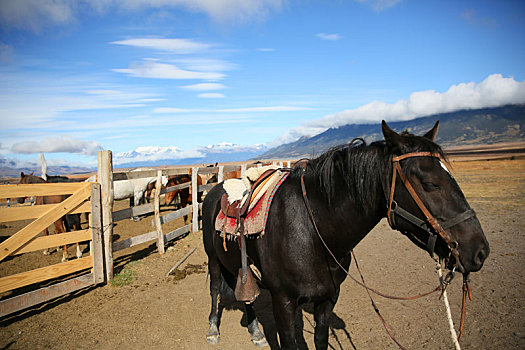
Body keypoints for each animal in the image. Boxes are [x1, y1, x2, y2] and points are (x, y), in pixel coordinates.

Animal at [201, 121, 488, 350]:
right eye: (430, 183)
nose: (480, 250)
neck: (311, 231)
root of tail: (214, 189)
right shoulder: (282, 301)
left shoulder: (328, 298)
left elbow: (320, 340)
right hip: (213, 259)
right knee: (215, 290)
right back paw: (213, 329)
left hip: (237, 264)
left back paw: (256, 332)